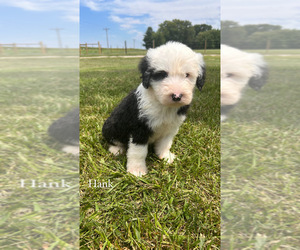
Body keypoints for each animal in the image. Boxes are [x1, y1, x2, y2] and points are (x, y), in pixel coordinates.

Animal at [102, 41, 205, 176]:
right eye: (162, 74)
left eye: (187, 75)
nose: (177, 96)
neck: (164, 106)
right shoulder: (140, 128)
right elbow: (138, 152)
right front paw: (137, 171)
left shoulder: (171, 127)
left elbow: (165, 144)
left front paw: (165, 157)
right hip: (111, 126)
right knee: (112, 140)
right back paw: (116, 150)